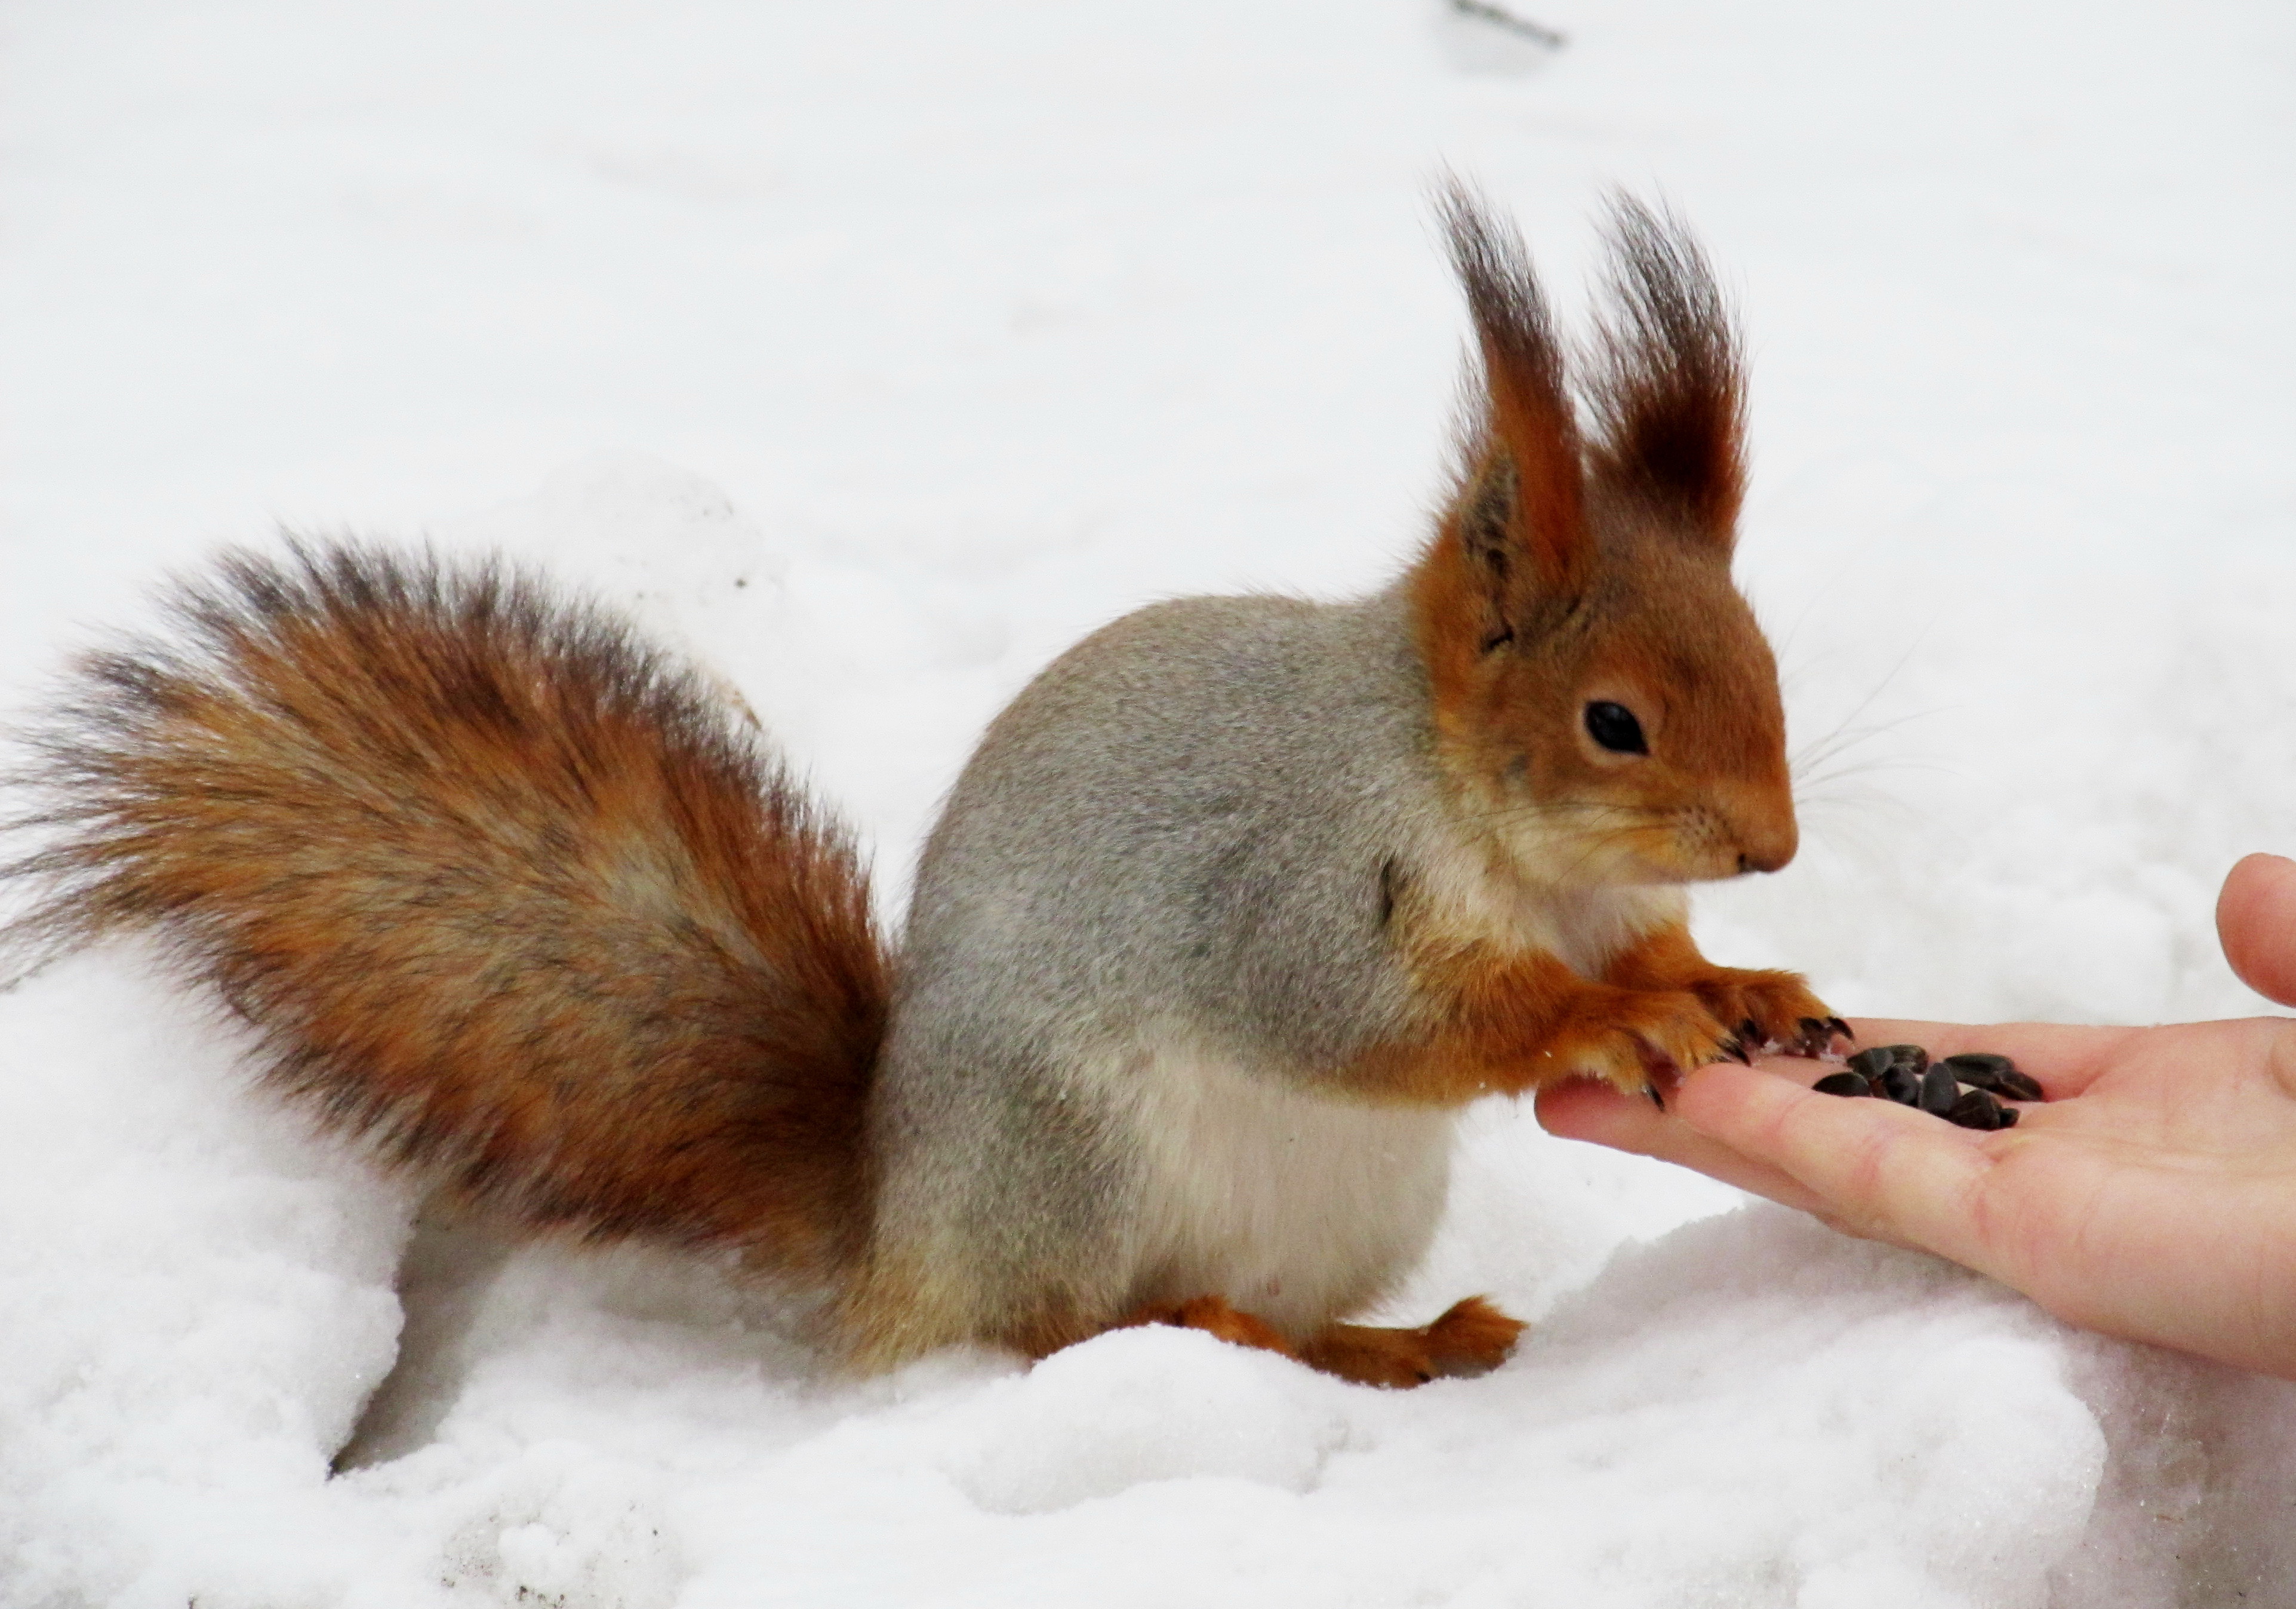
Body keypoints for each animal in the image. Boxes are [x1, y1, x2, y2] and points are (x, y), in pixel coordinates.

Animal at [0, 188, 1841, 1390]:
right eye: (1612, 721)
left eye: (1764, 655)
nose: (1771, 848)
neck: (1504, 834)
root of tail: (894, 1227)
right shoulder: (1294, 879)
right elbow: (1370, 1014)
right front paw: (1595, 1018)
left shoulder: (1606, 899)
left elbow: (1656, 954)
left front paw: (1740, 980)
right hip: (1073, 1159)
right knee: (1053, 1326)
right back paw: (1199, 1327)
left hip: (1344, 1207)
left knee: (1283, 1322)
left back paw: (1403, 1341)